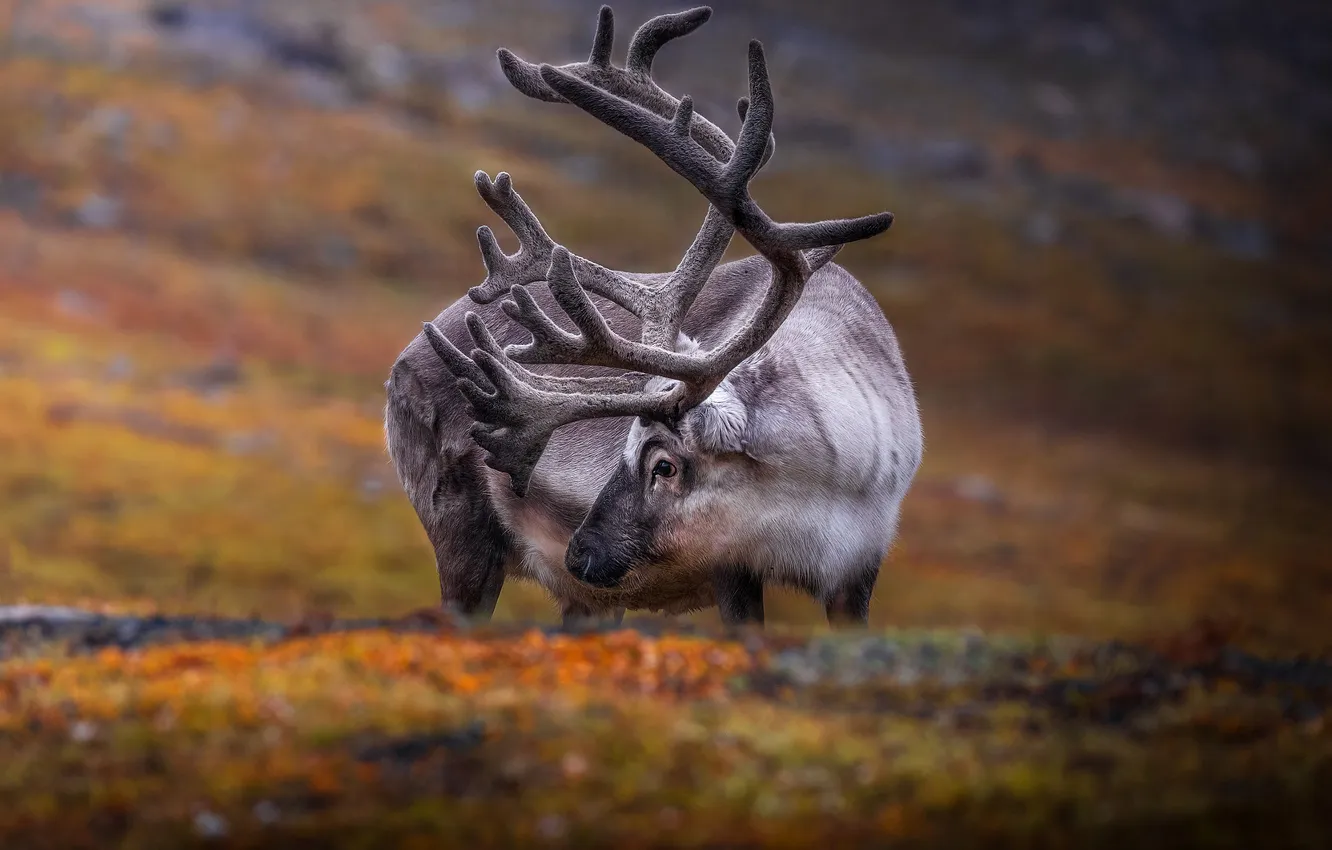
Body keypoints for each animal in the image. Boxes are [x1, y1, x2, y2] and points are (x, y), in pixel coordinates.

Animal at [384, 6, 922, 629]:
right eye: (624, 447)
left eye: (663, 465)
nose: (580, 556)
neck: (826, 483)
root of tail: (402, 359)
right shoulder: (732, 565)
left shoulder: (858, 572)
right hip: (463, 541)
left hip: (590, 603)